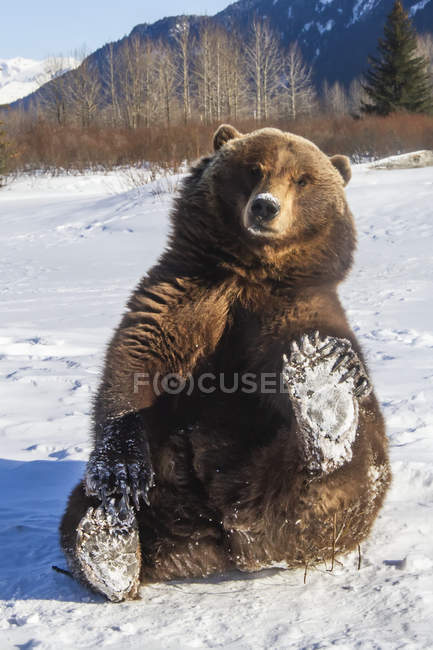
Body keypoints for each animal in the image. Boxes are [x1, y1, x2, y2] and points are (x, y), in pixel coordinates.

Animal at [59, 124, 390, 600]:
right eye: (254, 168)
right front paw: (121, 474)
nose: (266, 206)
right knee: (80, 511)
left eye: (302, 179)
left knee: (344, 475)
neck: (248, 272)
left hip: (311, 491)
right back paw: (109, 543)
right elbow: (133, 369)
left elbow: (296, 361)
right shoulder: (183, 297)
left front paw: (325, 370)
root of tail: (226, 536)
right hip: (167, 488)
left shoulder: (289, 309)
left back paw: (324, 406)